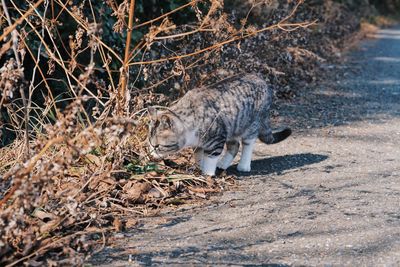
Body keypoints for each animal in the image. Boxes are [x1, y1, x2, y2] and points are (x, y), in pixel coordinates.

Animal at [148, 74, 292, 177]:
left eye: (157, 146)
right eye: (149, 144)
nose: (150, 155)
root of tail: (262, 81)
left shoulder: (216, 137)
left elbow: (211, 157)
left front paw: (207, 173)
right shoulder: (198, 143)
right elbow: (198, 155)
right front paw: (199, 168)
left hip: (251, 124)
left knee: (248, 144)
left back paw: (243, 165)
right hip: (233, 126)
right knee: (234, 146)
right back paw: (223, 164)